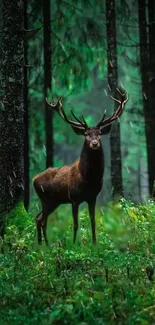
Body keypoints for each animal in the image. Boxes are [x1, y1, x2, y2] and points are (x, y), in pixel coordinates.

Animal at [33, 87, 128, 244]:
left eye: (99, 133)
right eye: (86, 134)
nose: (94, 143)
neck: (88, 179)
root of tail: (33, 179)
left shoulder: (92, 197)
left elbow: (93, 221)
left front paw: (94, 243)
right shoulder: (74, 198)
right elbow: (75, 224)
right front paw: (73, 244)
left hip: (54, 202)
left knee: (39, 218)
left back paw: (42, 245)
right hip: (45, 199)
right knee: (42, 220)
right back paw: (45, 245)